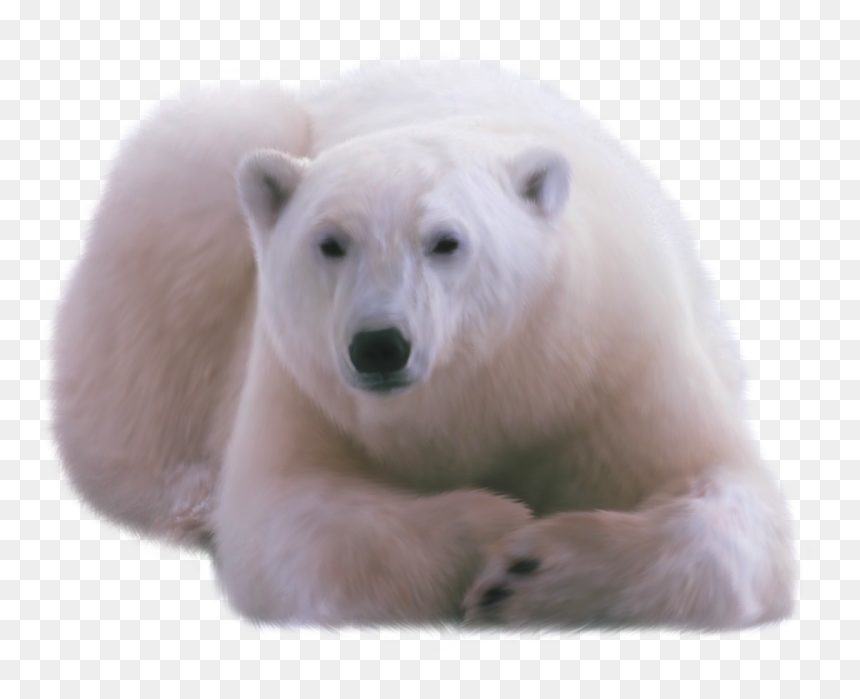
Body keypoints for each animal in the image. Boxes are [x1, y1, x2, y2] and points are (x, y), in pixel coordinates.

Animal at [52, 63, 794, 629]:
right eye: (330, 241)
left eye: (446, 241)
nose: (380, 345)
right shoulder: (304, 382)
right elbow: (292, 520)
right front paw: (493, 526)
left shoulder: (614, 357)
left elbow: (725, 498)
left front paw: (530, 571)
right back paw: (189, 495)